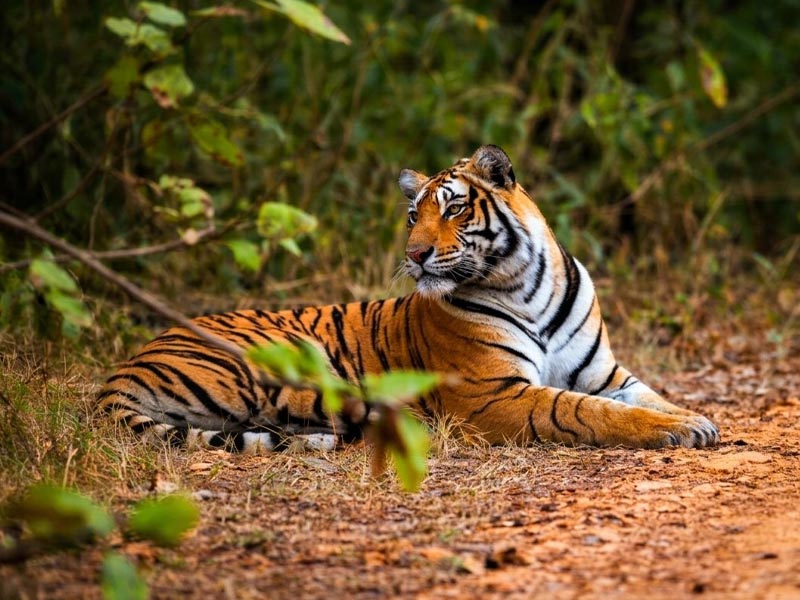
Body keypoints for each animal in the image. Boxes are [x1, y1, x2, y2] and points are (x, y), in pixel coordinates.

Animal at [98, 145, 720, 452]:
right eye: (412, 216)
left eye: (454, 209)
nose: (415, 254)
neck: (527, 285)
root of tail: (126, 365)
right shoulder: (492, 395)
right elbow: (584, 411)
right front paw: (676, 430)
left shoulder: (605, 373)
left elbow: (648, 397)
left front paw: (696, 419)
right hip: (286, 362)